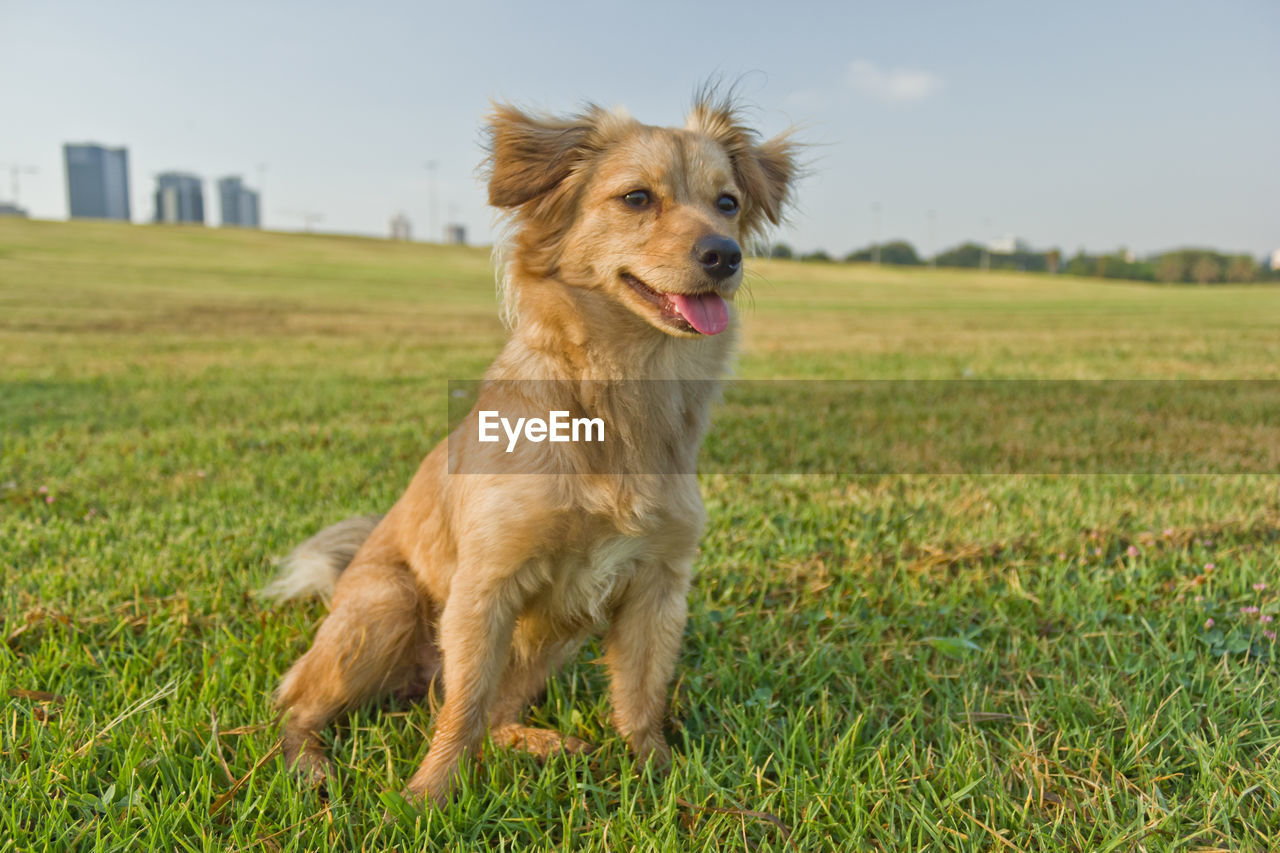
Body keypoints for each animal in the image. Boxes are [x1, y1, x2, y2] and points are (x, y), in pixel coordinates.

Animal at [264, 92, 793, 804]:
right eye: (636, 198)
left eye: (728, 203)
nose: (724, 255)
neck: (618, 396)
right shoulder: (485, 588)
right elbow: (462, 711)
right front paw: (427, 798)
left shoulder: (658, 586)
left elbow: (641, 698)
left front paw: (659, 777)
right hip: (387, 606)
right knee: (305, 706)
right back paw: (310, 765)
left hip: (555, 637)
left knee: (487, 712)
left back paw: (540, 744)